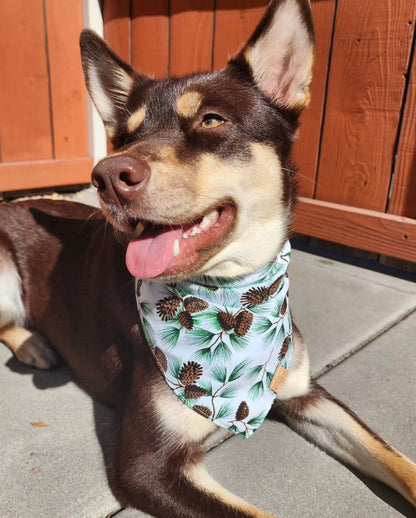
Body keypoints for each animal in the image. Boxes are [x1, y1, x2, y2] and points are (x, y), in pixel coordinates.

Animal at [0, 1, 416, 516]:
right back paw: (32, 343)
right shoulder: (148, 466)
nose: (106, 176)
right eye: (125, 138)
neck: (229, 295)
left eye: (211, 121)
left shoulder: (306, 392)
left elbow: (396, 458)